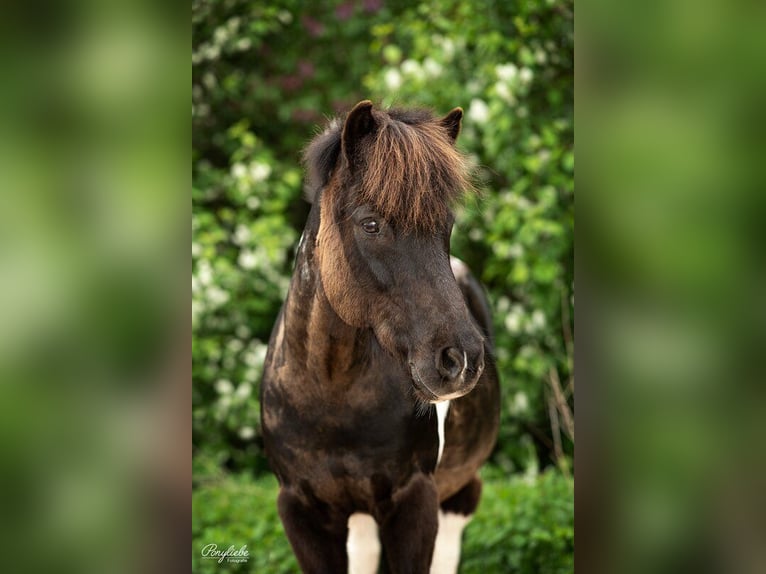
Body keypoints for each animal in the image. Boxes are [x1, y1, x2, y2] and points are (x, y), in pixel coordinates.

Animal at [262, 101, 504, 572]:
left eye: (446, 224)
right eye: (371, 223)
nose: (461, 359)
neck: (332, 395)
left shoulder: (415, 502)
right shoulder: (300, 512)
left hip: (456, 501)